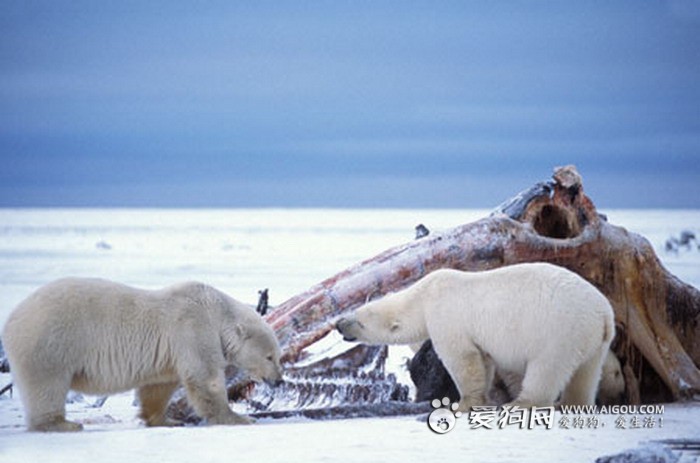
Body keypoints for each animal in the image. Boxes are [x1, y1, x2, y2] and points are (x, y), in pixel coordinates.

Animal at [1, 278, 283, 432]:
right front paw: (239, 418)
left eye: (277, 356)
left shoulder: (170, 350)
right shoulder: (193, 327)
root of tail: (12, 318)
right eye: (270, 356)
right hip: (51, 340)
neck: (215, 310)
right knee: (47, 383)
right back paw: (62, 424)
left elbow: (158, 385)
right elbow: (206, 378)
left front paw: (166, 420)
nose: (279, 380)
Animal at [336, 263, 615, 411]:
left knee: (546, 369)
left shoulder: (446, 315)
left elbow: (462, 359)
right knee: (586, 375)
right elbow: (484, 360)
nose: (339, 325)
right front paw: (483, 399)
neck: (423, 296)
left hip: (559, 329)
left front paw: (463, 403)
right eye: (353, 311)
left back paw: (519, 404)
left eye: (359, 322)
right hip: (592, 341)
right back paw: (573, 403)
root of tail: (603, 314)